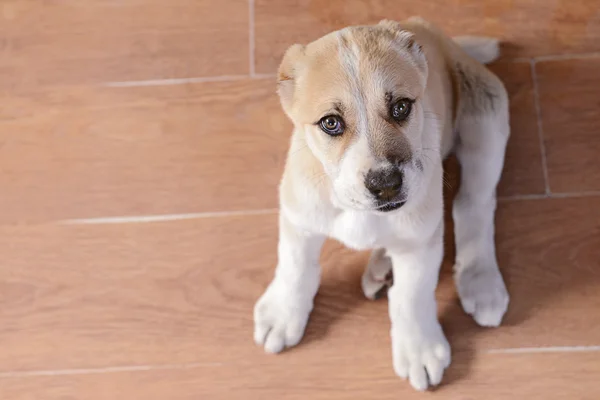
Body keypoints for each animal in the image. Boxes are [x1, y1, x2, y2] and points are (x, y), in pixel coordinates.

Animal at [251, 18, 508, 390]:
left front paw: (418, 348)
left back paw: (481, 281)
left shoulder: (420, 242)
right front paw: (284, 313)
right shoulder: (299, 217)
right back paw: (380, 265)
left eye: (401, 106)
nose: (386, 186)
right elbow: (294, 266)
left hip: (486, 119)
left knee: (474, 204)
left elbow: (412, 295)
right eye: (331, 123)